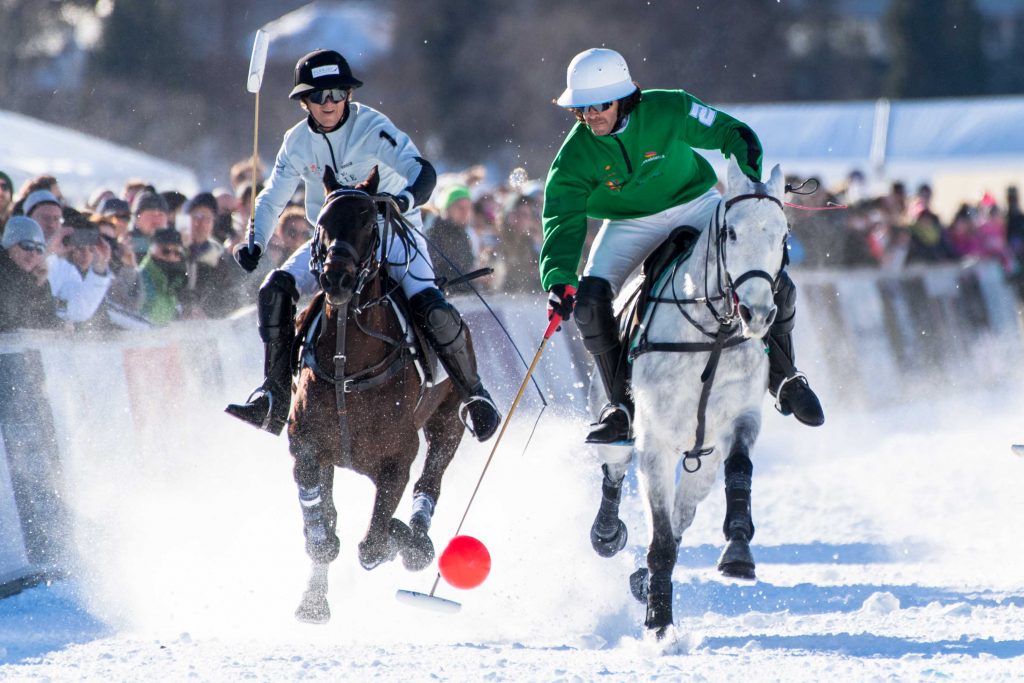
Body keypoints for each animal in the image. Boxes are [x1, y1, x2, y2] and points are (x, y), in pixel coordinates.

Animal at [288, 166, 464, 626]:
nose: (337, 278)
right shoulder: (308, 446)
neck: (347, 364)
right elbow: (321, 530)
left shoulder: (397, 459)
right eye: (322, 223)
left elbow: (373, 545)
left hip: (449, 418)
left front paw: (404, 538)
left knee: (431, 478)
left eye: (370, 223)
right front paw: (313, 603)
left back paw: (416, 535)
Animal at [585, 157, 790, 638]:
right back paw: (607, 534)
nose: (758, 314)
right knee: (613, 467)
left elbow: (736, 472)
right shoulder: (656, 443)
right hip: (617, 416)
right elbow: (660, 535)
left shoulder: (735, 423)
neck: (712, 336)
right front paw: (659, 623)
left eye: (783, 235)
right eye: (730, 232)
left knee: (685, 511)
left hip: (701, 455)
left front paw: (737, 552)